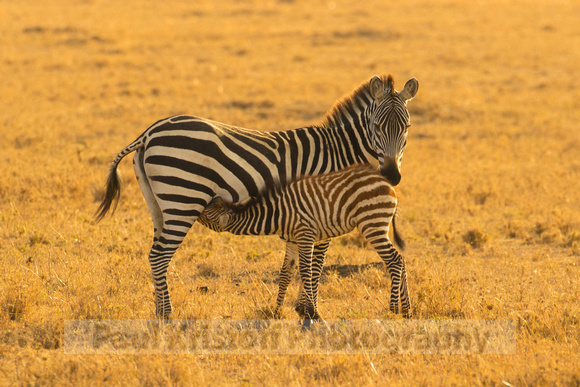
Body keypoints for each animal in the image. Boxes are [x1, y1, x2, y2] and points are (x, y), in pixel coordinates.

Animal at [201, 164, 412, 328]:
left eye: (204, 215)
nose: (205, 199)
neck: (278, 214)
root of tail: (387, 184)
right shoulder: (292, 241)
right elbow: (285, 274)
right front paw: (276, 312)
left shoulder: (305, 235)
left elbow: (306, 272)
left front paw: (313, 313)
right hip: (378, 223)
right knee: (400, 260)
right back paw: (407, 311)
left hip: (372, 223)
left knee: (394, 260)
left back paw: (393, 309)